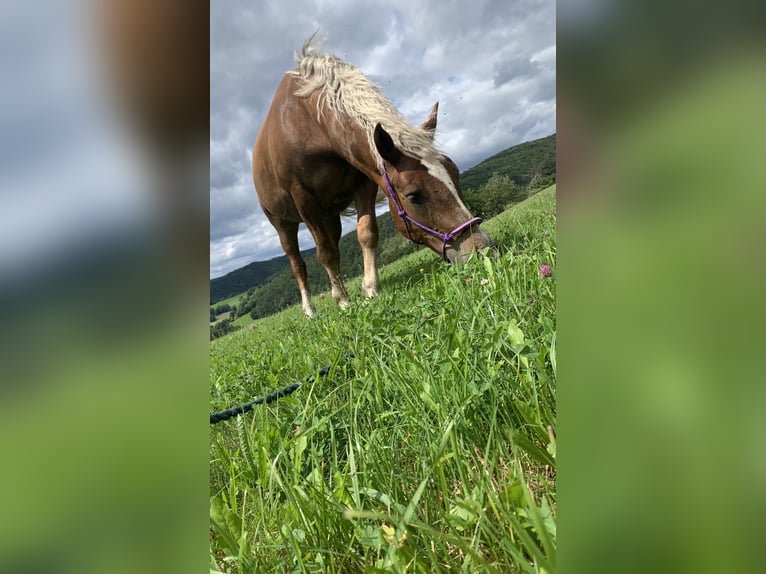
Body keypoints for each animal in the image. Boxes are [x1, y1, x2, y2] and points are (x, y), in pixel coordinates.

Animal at [252, 35, 494, 317]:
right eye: (414, 195)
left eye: (456, 175)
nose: (482, 250)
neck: (311, 122)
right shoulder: (304, 199)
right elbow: (324, 253)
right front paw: (342, 301)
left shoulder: (364, 182)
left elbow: (366, 233)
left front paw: (370, 289)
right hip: (282, 223)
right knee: (297, 262)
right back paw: (311, 309)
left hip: (330, 215)